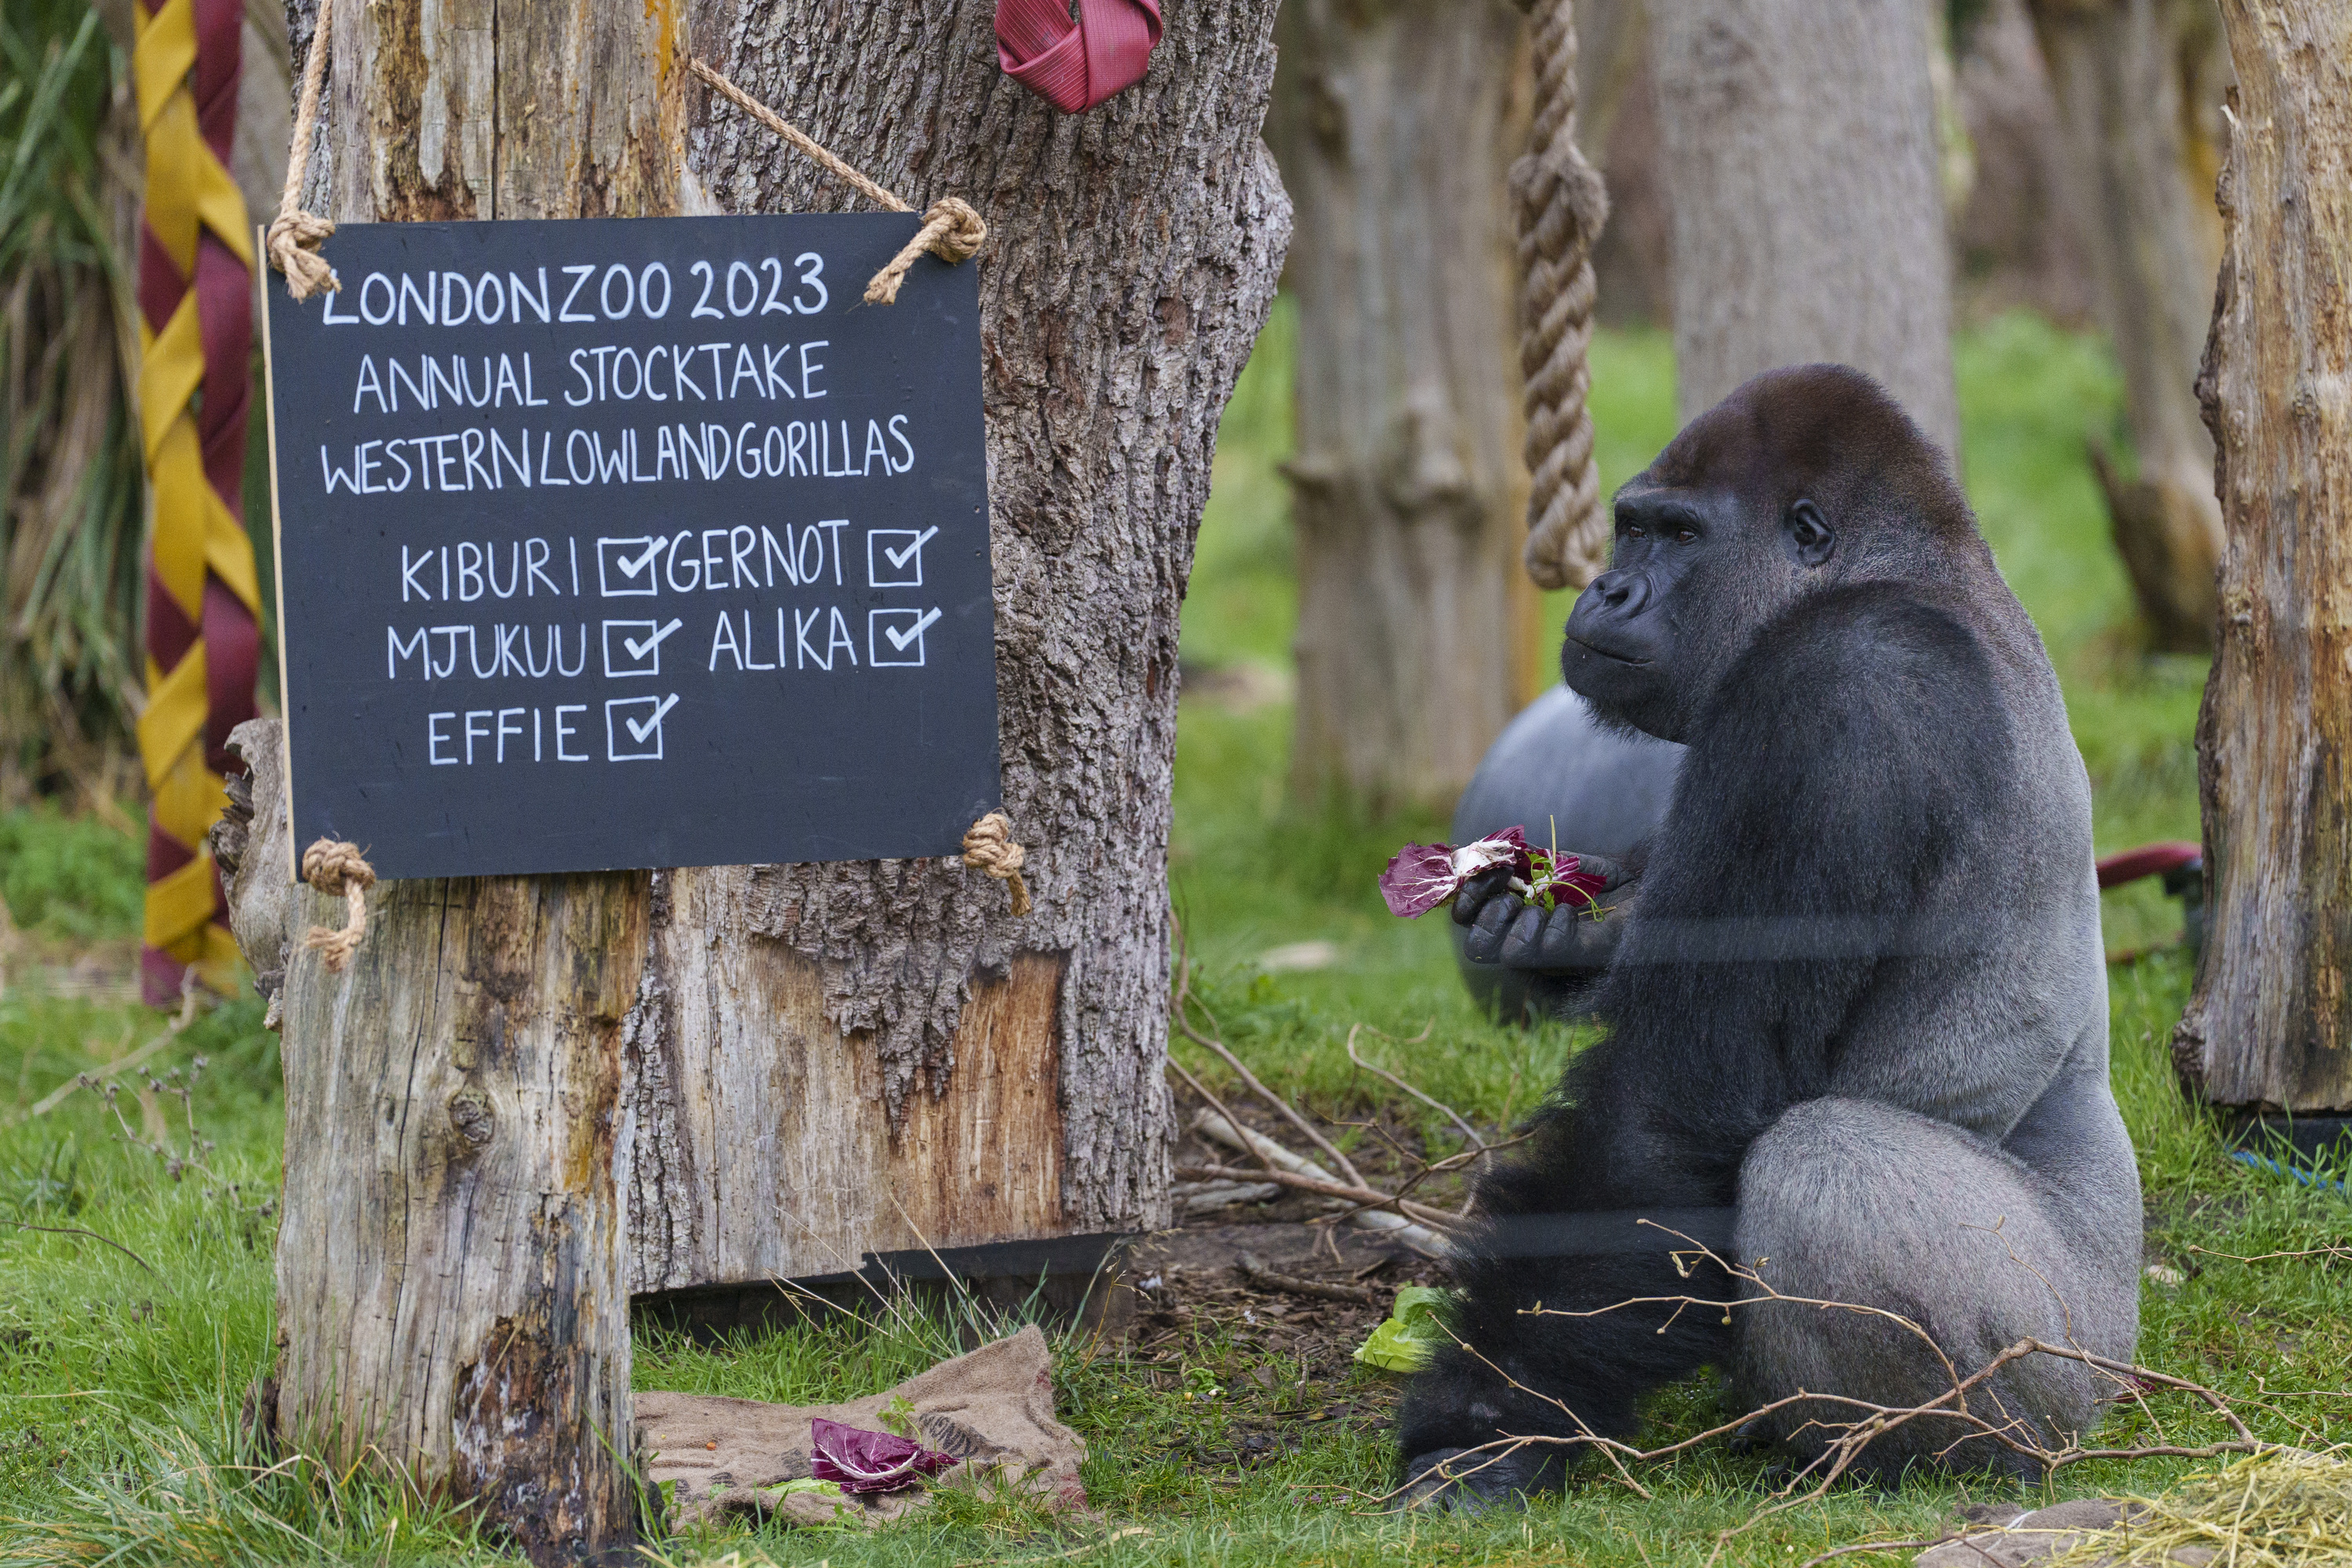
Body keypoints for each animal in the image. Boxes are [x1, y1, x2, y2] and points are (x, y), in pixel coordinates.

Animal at [1392, 368, 2154, 1504]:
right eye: (1628, 528)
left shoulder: (1841, 692)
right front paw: (1538, 926)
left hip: (2065, 1351)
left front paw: (1488, 1416)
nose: (1608, 592)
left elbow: (1669, 1115)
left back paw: (1899, 1454)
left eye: (1678, 535)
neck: (1908, 566)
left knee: (1825, 1167)